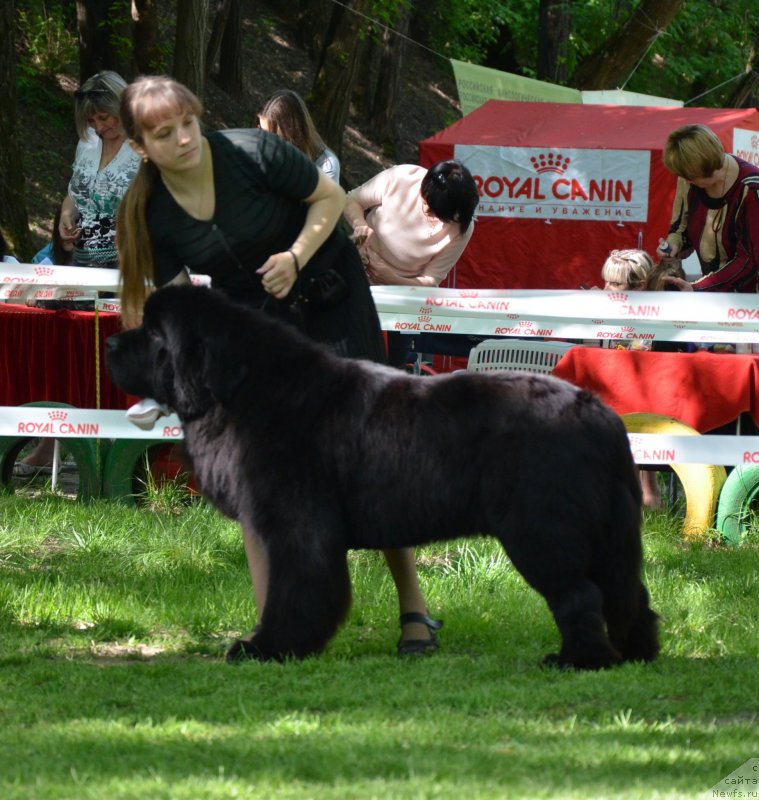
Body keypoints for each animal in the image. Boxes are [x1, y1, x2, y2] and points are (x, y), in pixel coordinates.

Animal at [107, 288, 660, 668]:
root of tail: (600, 414)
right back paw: (636, 652)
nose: (110, 339)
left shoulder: (297, 526)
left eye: (153, 334)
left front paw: (271, 647)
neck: (240, 390)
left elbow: (298, 589)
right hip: (607, 534)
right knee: (628, 591)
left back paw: (576, 660)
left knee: (580, 593)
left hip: (541, 529)